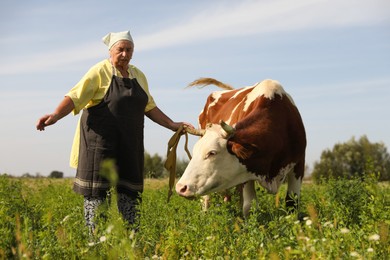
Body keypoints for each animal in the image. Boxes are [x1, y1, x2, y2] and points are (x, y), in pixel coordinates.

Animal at [175, 77, 306, 217]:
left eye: (212, 153)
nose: (180, 187)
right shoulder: (245, 174)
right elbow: (250, 206)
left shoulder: (299, 164)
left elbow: (292, 204)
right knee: (206, 199)